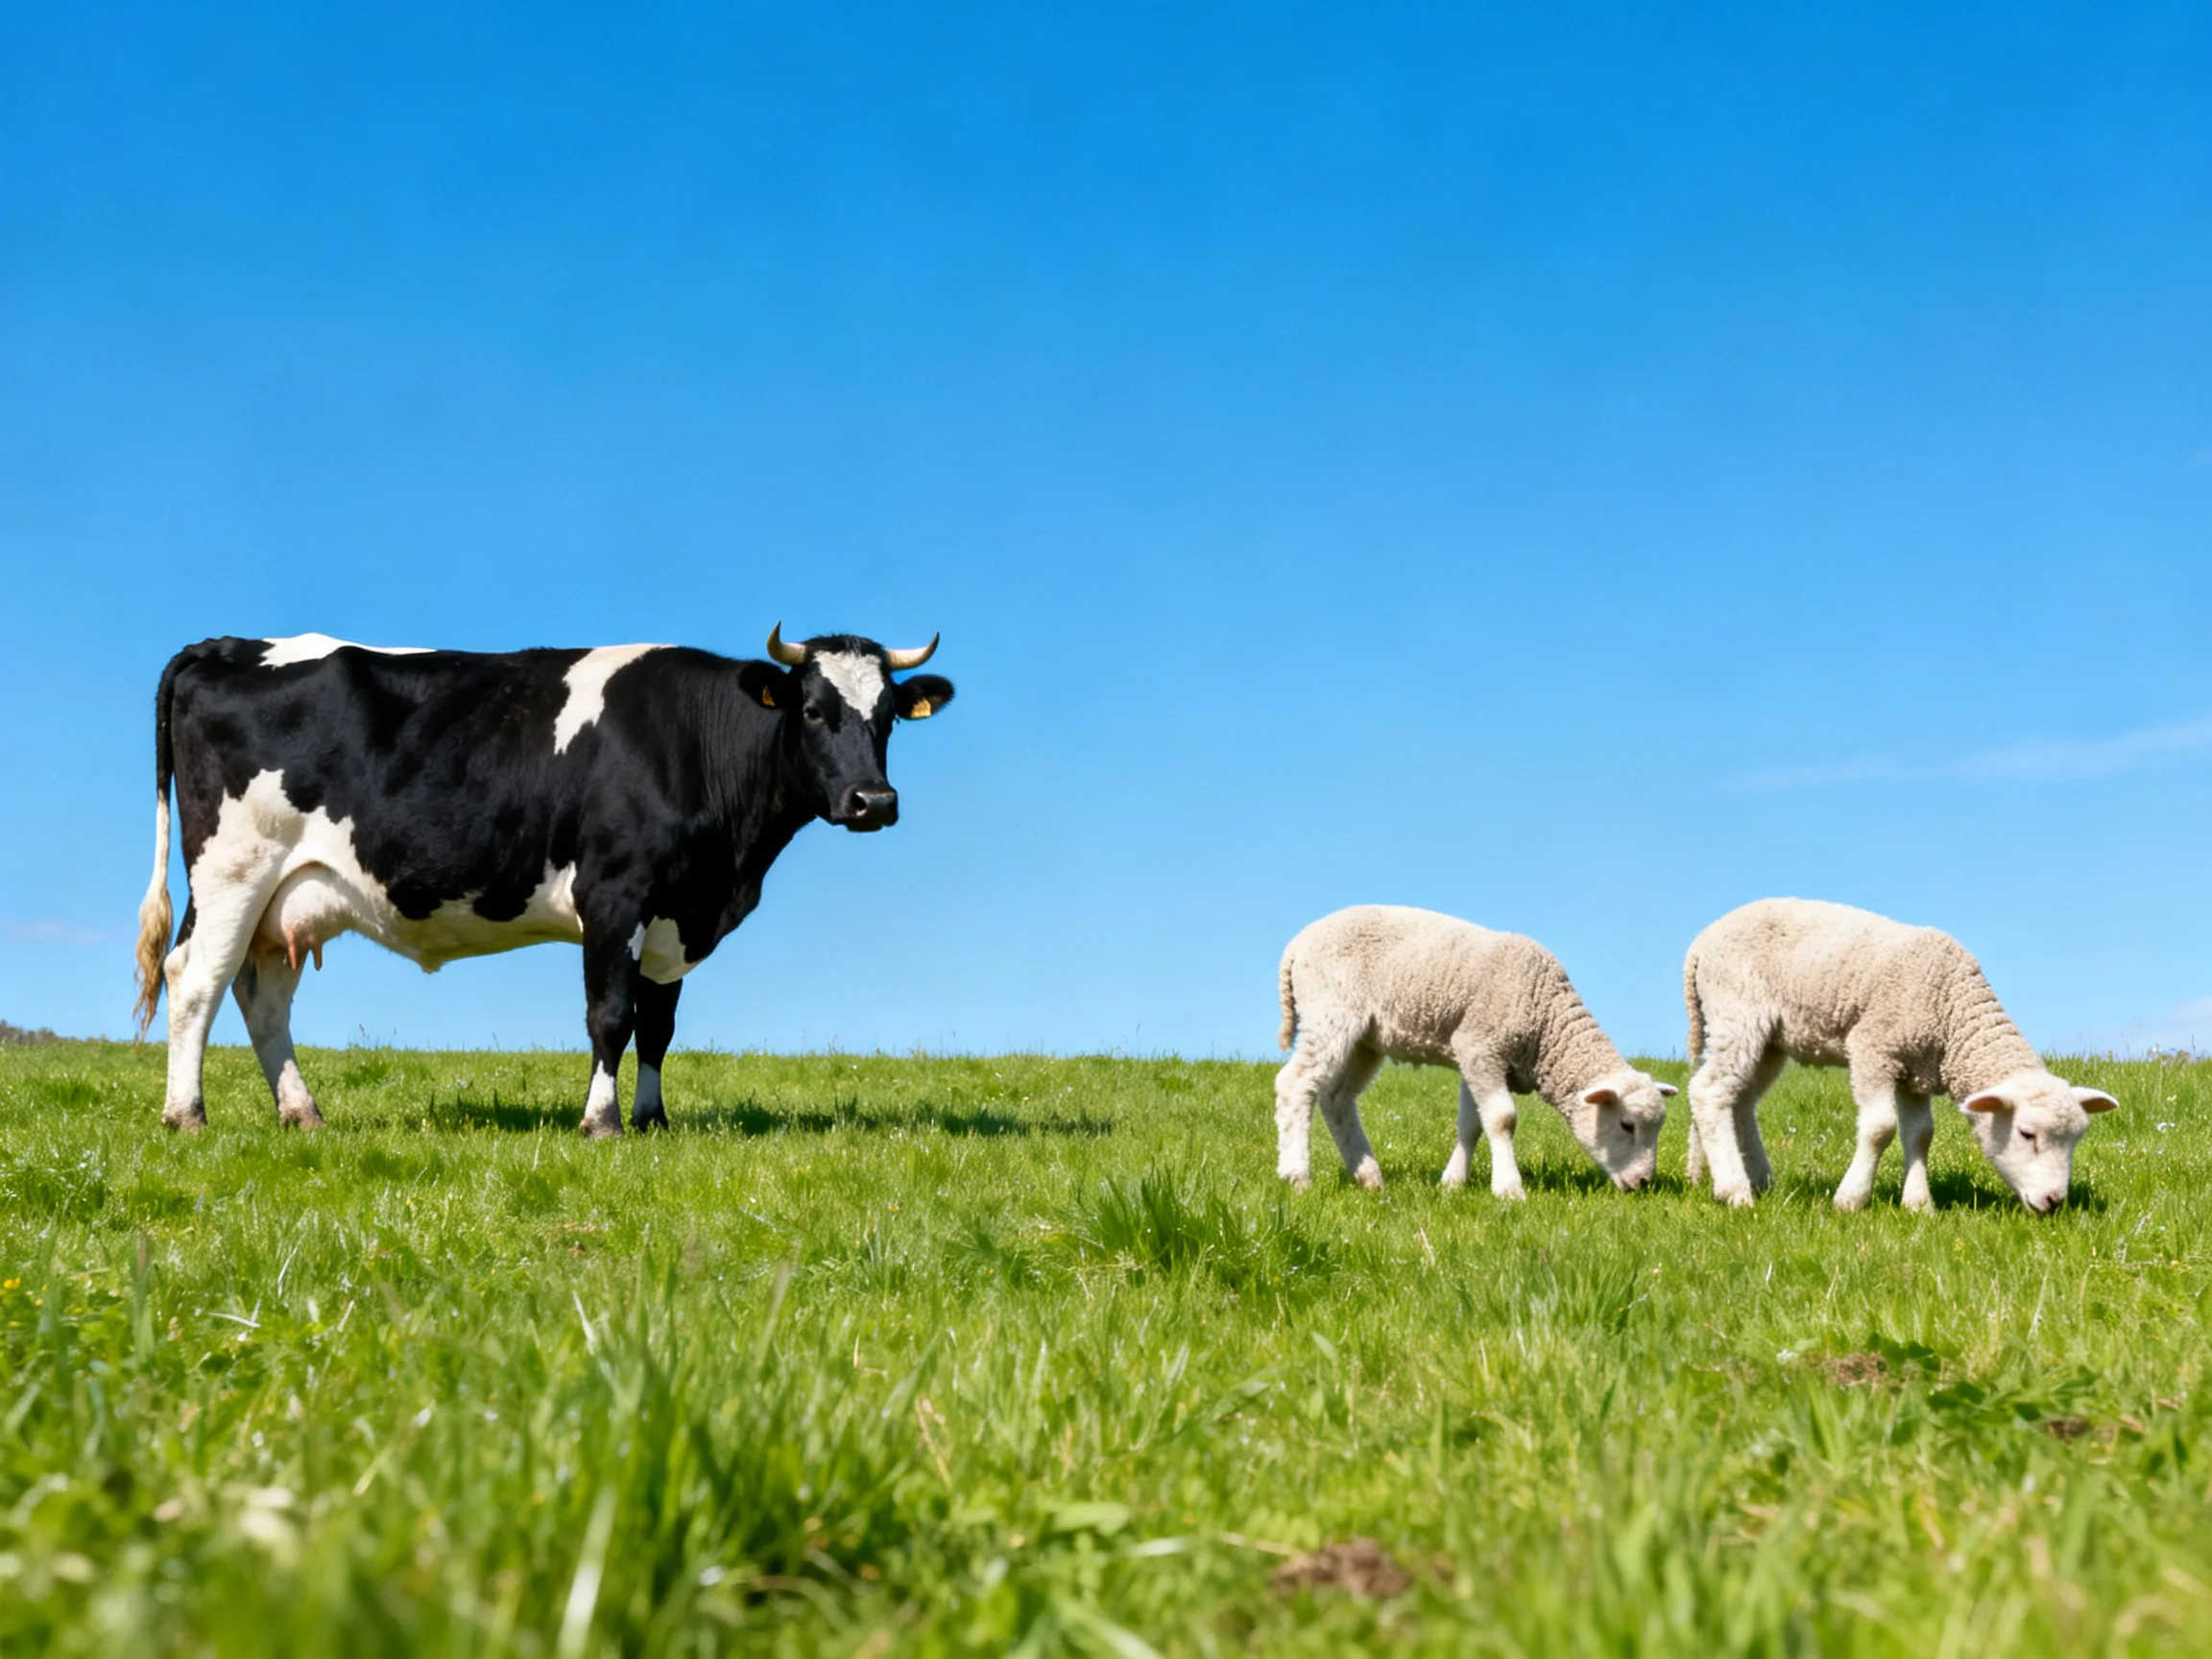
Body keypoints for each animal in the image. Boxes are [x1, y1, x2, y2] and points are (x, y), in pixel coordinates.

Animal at [131, 626, 954, 1136]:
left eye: (888, 716)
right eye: (813, 710)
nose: (874, 802)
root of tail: (224, 645)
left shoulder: (675, 912)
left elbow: (659, 1024)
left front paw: (654, 1121)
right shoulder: (613, 895)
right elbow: (611, 1017)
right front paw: (602, 1122)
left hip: (285, 896)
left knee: (260, 993)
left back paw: (301, 1114)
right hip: (234, 867)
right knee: (194, 977)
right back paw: (186, 1115)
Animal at [1274, 904, 1675, 1197]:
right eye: (1626, 1125)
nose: (1644, 1184)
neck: (1544, 1020)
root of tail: (1298, 943)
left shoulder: (1476, 1055)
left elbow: (1472, 1125)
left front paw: (1453, 1183)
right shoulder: (1482, 1045)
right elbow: (1502, 1119)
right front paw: (1509, 1189)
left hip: (1364, 1041)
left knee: (1335, 1098)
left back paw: (1368, 1176)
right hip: (1330, 1011)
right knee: (1295, 1084)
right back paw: (1296, 1176)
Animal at [1682, 897, 2118, 1214]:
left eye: (2076, 1139)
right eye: (2027, 1134)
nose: (2054, 1202)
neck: (1950, 1007)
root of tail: (1700, 943)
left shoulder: (1916, 1070)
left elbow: (1921, 1134)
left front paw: (1919, 1205)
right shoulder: (1874, 1047)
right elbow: (1880, 1128)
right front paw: (1851, 1199)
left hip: (1770, 1039)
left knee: (1741, 1101)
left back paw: (1758, 1179)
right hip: (1737, 1010)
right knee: (1710, 1091)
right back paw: (1735, 1191)